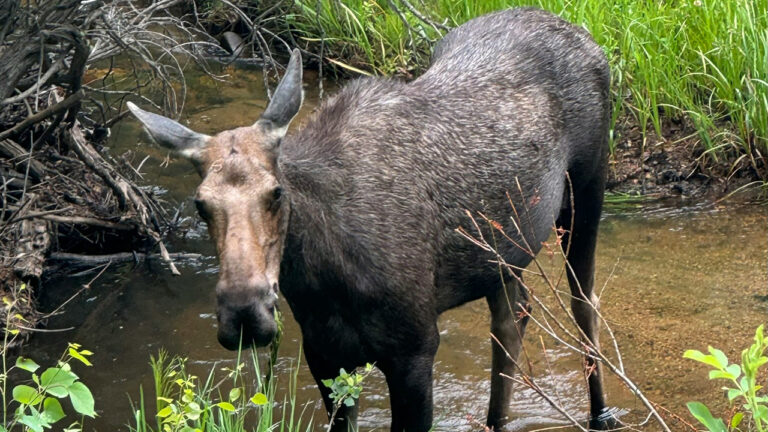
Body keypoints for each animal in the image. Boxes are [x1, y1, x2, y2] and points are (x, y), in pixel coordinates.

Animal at [127, 7, 616, 431]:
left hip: (587, 188)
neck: (322, 271)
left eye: (276, 192)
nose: (244, 312)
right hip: (505, 246)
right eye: (200, 204)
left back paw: (602, 413)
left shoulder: (415, 350)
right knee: (513, 317)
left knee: (584, 302)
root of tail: (585, 35)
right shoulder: (324, 353)